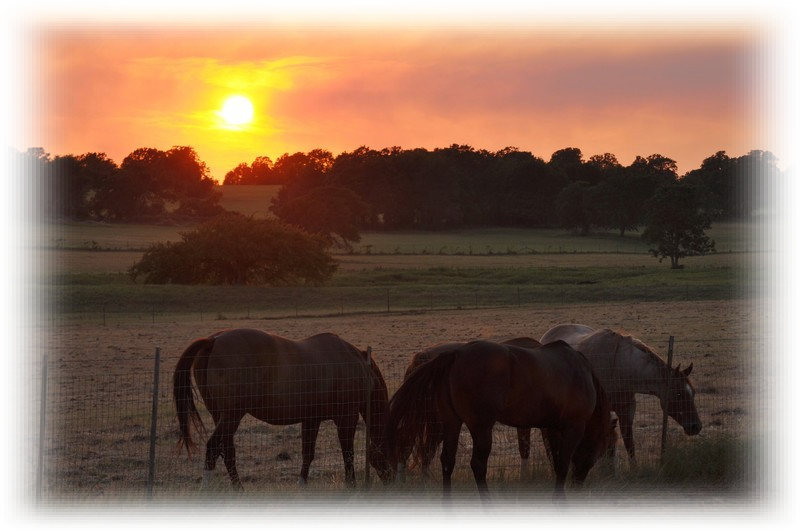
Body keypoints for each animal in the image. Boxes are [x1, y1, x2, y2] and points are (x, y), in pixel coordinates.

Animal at [173, 328, 392, 490]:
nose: (391, 480)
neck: (354, 362)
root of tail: (214, 341)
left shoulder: (311, 419)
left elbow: (308, 453)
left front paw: (302, 485)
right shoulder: (347, 417)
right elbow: (348, 452)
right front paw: (351, 485)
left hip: (220, 415)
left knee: (226, 450)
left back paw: (239, 490)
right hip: (231, 416)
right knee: (213, 448)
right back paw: (209, 490)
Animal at [384, 338, 616, 520]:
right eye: (598, 451)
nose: (578, 484)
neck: (579, 371)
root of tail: (457, 354)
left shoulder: (552, 428)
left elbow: (558, 463)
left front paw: (559, 501)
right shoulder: (573, 428)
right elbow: (564, 464)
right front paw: (561, 505)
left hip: (451, 423)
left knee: (447, 461)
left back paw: (450, 512)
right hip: (481, 428)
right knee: (478, 465)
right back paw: (491, 511)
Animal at [540, 322, 704, 464]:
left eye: (693, 393)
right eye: (678, 394)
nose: (696, 426)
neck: (617, 367)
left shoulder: (626, 410)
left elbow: (628, 444)